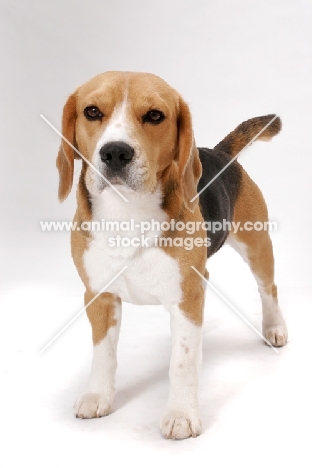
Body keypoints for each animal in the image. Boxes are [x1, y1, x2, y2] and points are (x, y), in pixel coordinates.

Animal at [55, 71, 288, 440]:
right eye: (92, 111)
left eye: (155, 115)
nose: (115, 152)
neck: (127, 212)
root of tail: (218, 153)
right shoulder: (99, 296)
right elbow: (103, 354)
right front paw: (97, 396)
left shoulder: (187, 297)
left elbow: (183, 363)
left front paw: (181, 414)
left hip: (257, 246)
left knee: (269, 288)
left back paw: (275, 327)